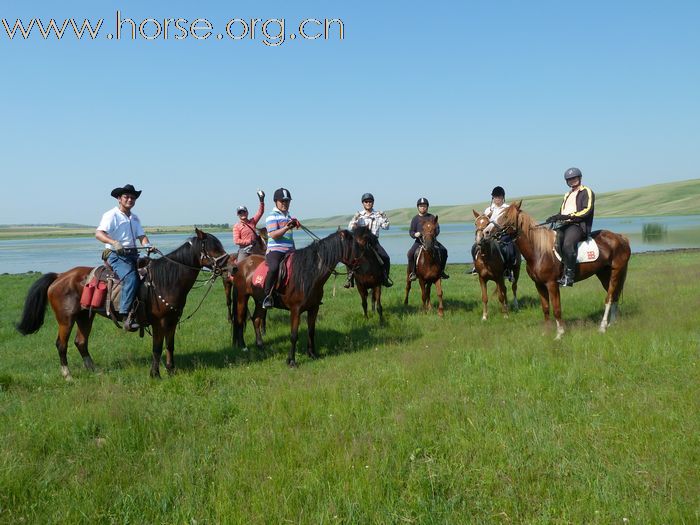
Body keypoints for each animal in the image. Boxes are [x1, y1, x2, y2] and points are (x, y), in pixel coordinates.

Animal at [14, 229, 227, 376]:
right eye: (214, 247)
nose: (230, 266)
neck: (165, 280)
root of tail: (59, 276)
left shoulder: (172, 321)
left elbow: (170, 346)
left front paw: (171, 370)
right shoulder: (159, 323)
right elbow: (157, 348)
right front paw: (155, 374)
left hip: (85, 316)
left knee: (81, 342)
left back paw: (94, 371)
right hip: (66, 319)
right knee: (61, 344)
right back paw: (68, 375)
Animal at [228, 227, 356, 366]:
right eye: (356, 246)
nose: (360, 265)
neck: (309, 274)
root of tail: (240, 265)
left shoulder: (314, 308)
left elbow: (311, 331)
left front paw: (312, 354)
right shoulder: (296, 310)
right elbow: (294, 335)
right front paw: (291, 361)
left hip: (259, 300)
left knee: (256, 319)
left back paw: (260, 345)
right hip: (242, 297)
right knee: (240, 321)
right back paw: (243, 346)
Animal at [492, 201, 636, 340]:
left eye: (505, 216)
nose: (489, 232)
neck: (539, 250)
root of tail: (620, 237)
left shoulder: (552, 284)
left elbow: (556, 309)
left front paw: (559, 334)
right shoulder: (539, 285)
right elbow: (545, 308)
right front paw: (546, 333)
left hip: (616, 272)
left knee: (609, 298)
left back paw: (603, 327)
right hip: (604, 274)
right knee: (615, 296)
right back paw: (613, 323)